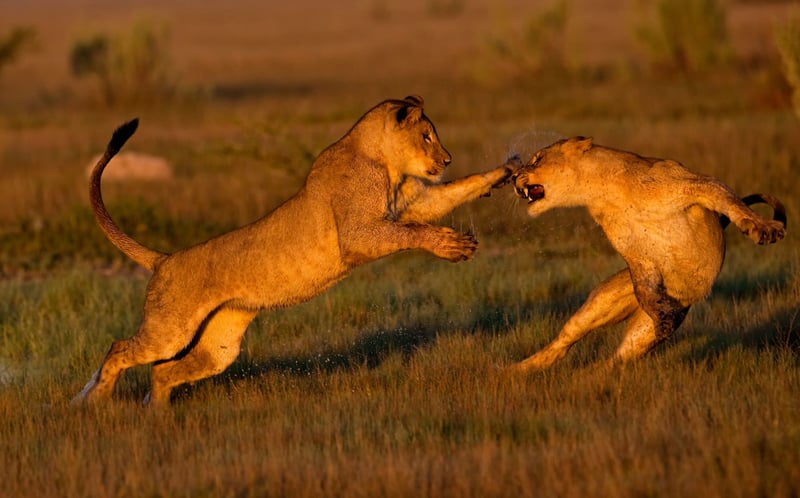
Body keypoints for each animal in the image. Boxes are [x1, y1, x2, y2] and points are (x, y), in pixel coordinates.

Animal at [73, 94, 512, 404]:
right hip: (169, 329)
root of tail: (164, 259)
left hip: (219, 346)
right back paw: (95, 402)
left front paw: (503, 172)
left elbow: (452, 194)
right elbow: (414, 232)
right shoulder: (358, 235)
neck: (384, 162)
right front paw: (452, 244)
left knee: (162, 372)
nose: (447, 159)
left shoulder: (414, 201)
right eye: (427, 136)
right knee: (119, 349)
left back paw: (157, 415)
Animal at [510, 136, 784, 370]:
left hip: (640, 334)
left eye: (537, 159)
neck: (603, 190)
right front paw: (662, 314)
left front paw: (763, 228)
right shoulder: (635, 253)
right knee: (566, 341)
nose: (512, 177)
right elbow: (644, 281)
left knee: (617, 359)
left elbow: (732, 201)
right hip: (604, 302)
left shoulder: (697, 182)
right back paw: (518, 371)